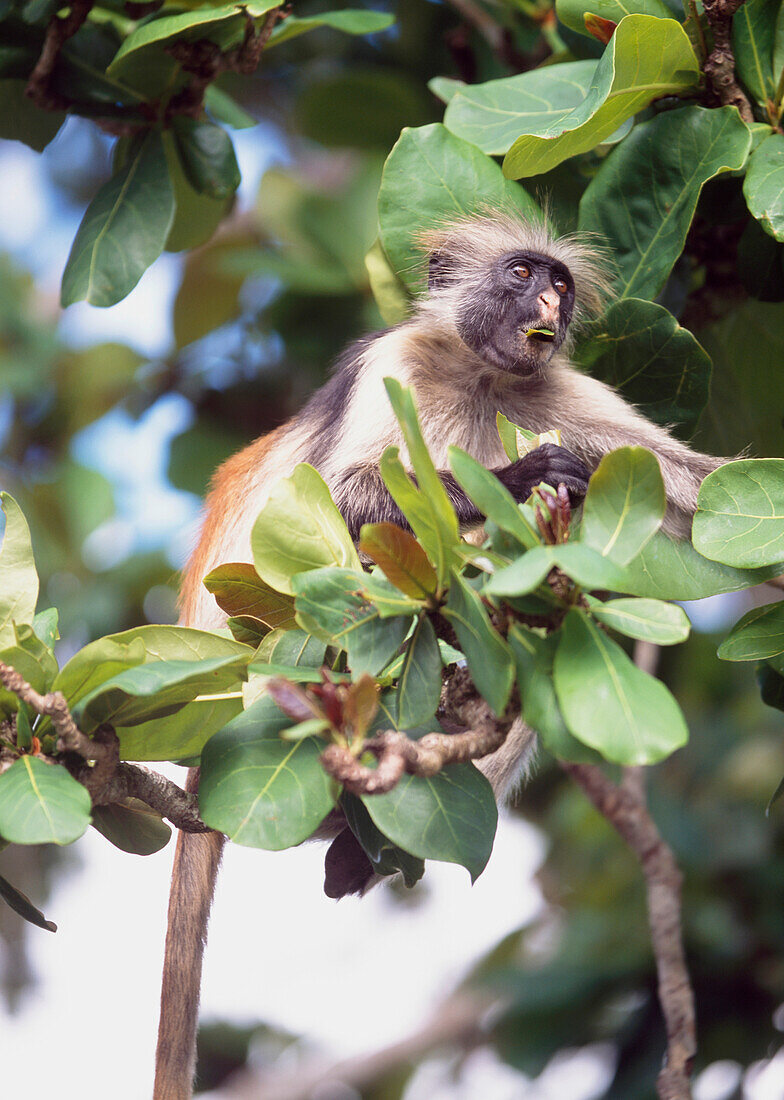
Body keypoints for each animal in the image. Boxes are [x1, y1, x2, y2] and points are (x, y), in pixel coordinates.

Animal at [152, 214, 721, 1100]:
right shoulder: (396, 360)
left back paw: (358, 845)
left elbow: (705, 491)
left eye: (559, 281)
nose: (549, 301)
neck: (482, 375)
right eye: (521, 274)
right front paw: (524, 473)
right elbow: (341, 496)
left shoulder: (557, 390)